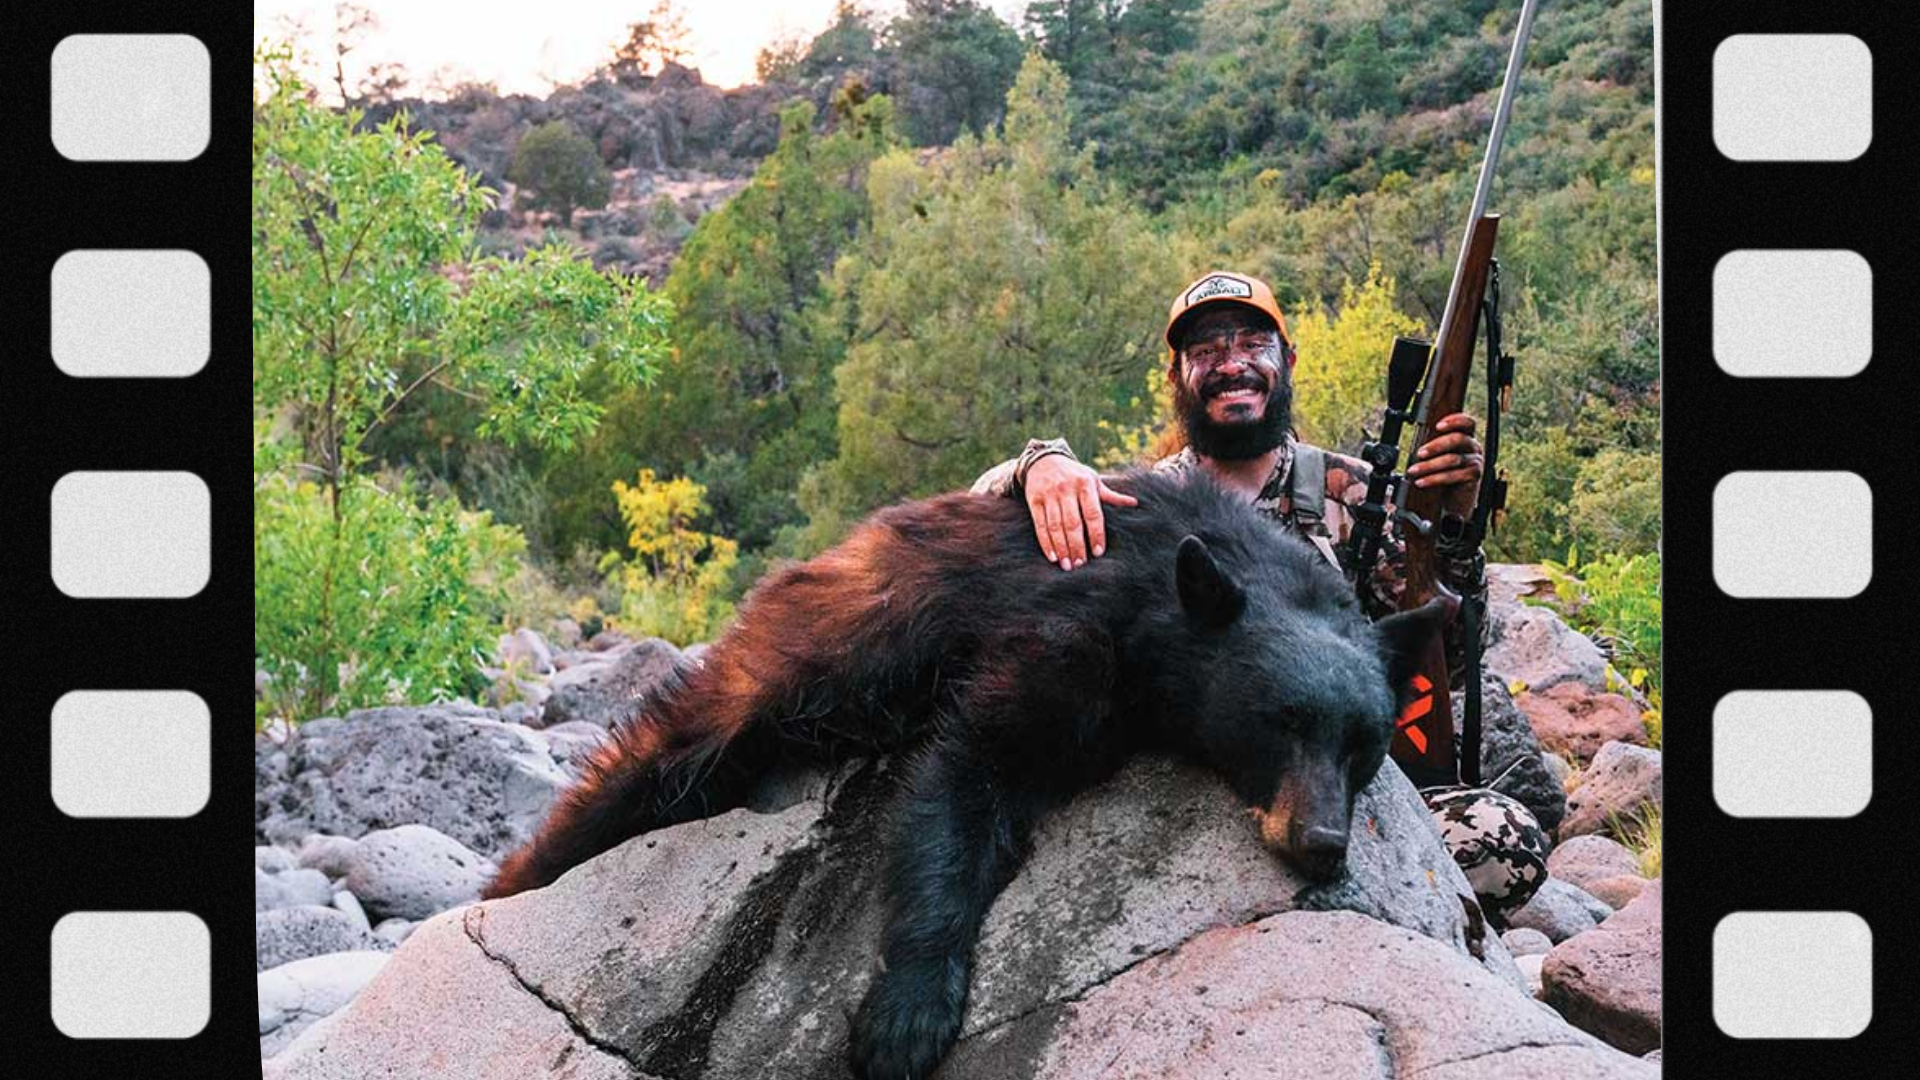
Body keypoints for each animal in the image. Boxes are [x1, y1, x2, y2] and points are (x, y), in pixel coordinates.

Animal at [483, 468, 1448, 1080]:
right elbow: (967, 778)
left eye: (1366, 744)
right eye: (1280, 722)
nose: (1321, 841)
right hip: (823, 637)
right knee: (679, 744)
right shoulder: (1065, 639)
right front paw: (907, 1015)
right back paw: (524, 874)